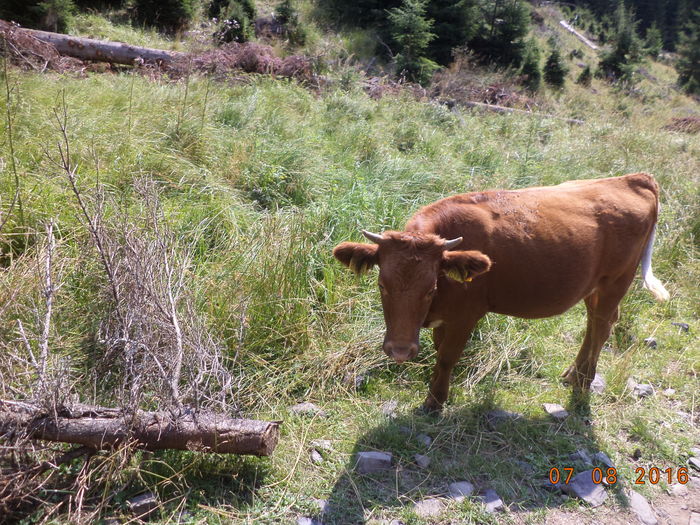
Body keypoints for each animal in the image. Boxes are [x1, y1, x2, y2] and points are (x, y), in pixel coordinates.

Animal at [336, 174, 668, 412]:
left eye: (430, 288)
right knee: (594, 324)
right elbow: (439, 349)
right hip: (594, 286)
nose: (401, 351)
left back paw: (583, 382)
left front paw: (435, 402)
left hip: (616, 281)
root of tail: (633, 178)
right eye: (382, 285)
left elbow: (446, 357)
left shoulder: (466, 315)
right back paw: (573, 374)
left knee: (601, 326)